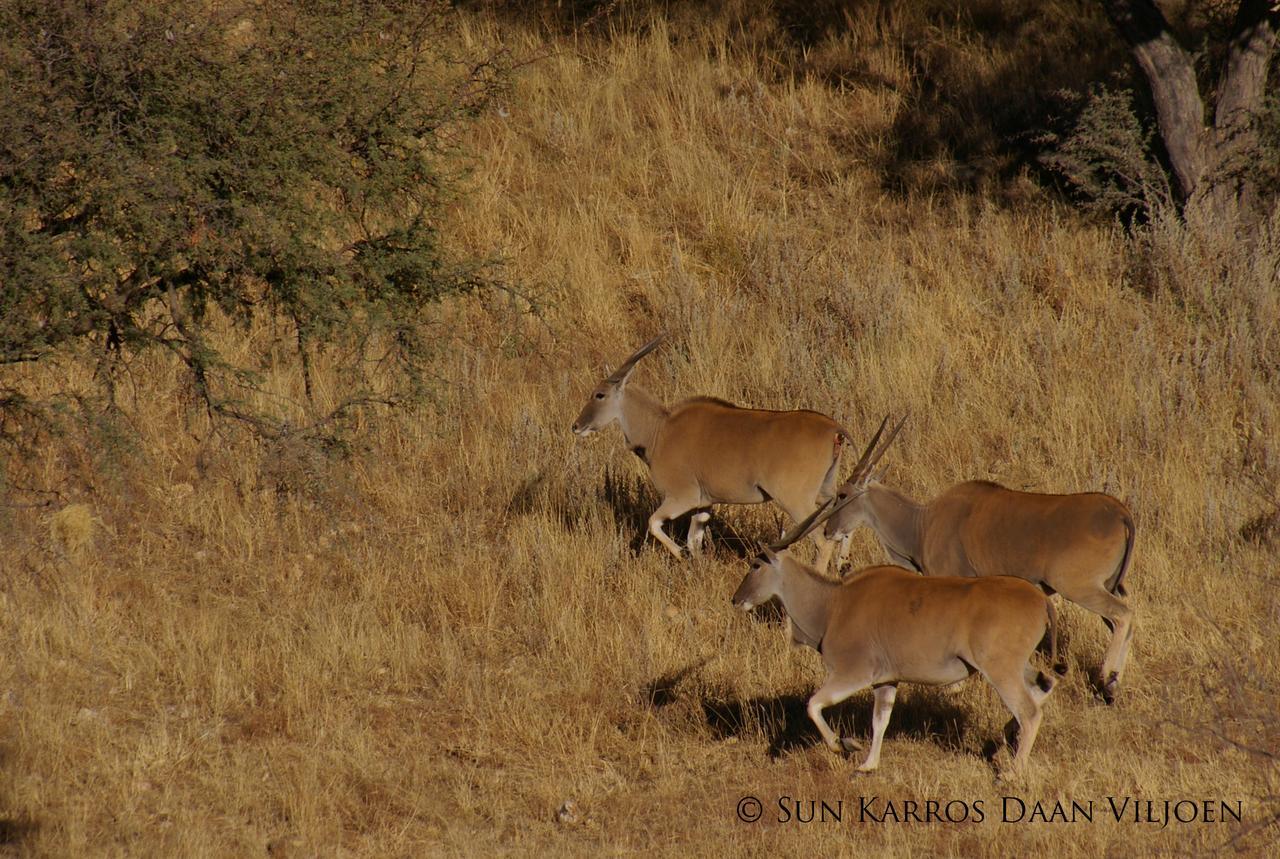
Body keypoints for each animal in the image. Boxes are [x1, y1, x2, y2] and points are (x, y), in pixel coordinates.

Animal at [573, 332, 860, 568]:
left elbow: (655, 524)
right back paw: (843, 564)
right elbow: (693, 540)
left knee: (823, 543)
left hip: (797, 501)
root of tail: (832, 428)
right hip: (825, 492)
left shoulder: (682, 497)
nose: (576, 426)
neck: (660, 430)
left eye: (599, 394)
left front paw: (681, 556)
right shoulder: (704, 504)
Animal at [732, 501, 1059, 778]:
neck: (834, 603)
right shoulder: (886, 680)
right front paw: (868, 765)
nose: (736, 599)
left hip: (1000, 669)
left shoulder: (853, 673)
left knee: (1029, 711)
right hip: (1018, 666)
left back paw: (1012, 772)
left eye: (756, 565)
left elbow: (814, 704)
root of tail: (1040, 599)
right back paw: (1006, 739)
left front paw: (843, 745)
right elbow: (880, 720)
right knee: (1044, 685)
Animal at [824, 417, 1136, 706]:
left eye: (842, 495)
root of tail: (1119, 511)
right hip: (1109, 585)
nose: (828, 530)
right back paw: (1114, 686)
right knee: (1125, 619)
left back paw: (1106, 682)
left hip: (1080, 588)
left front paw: (954, 687)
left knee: (1123, 615)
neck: (922, 523)